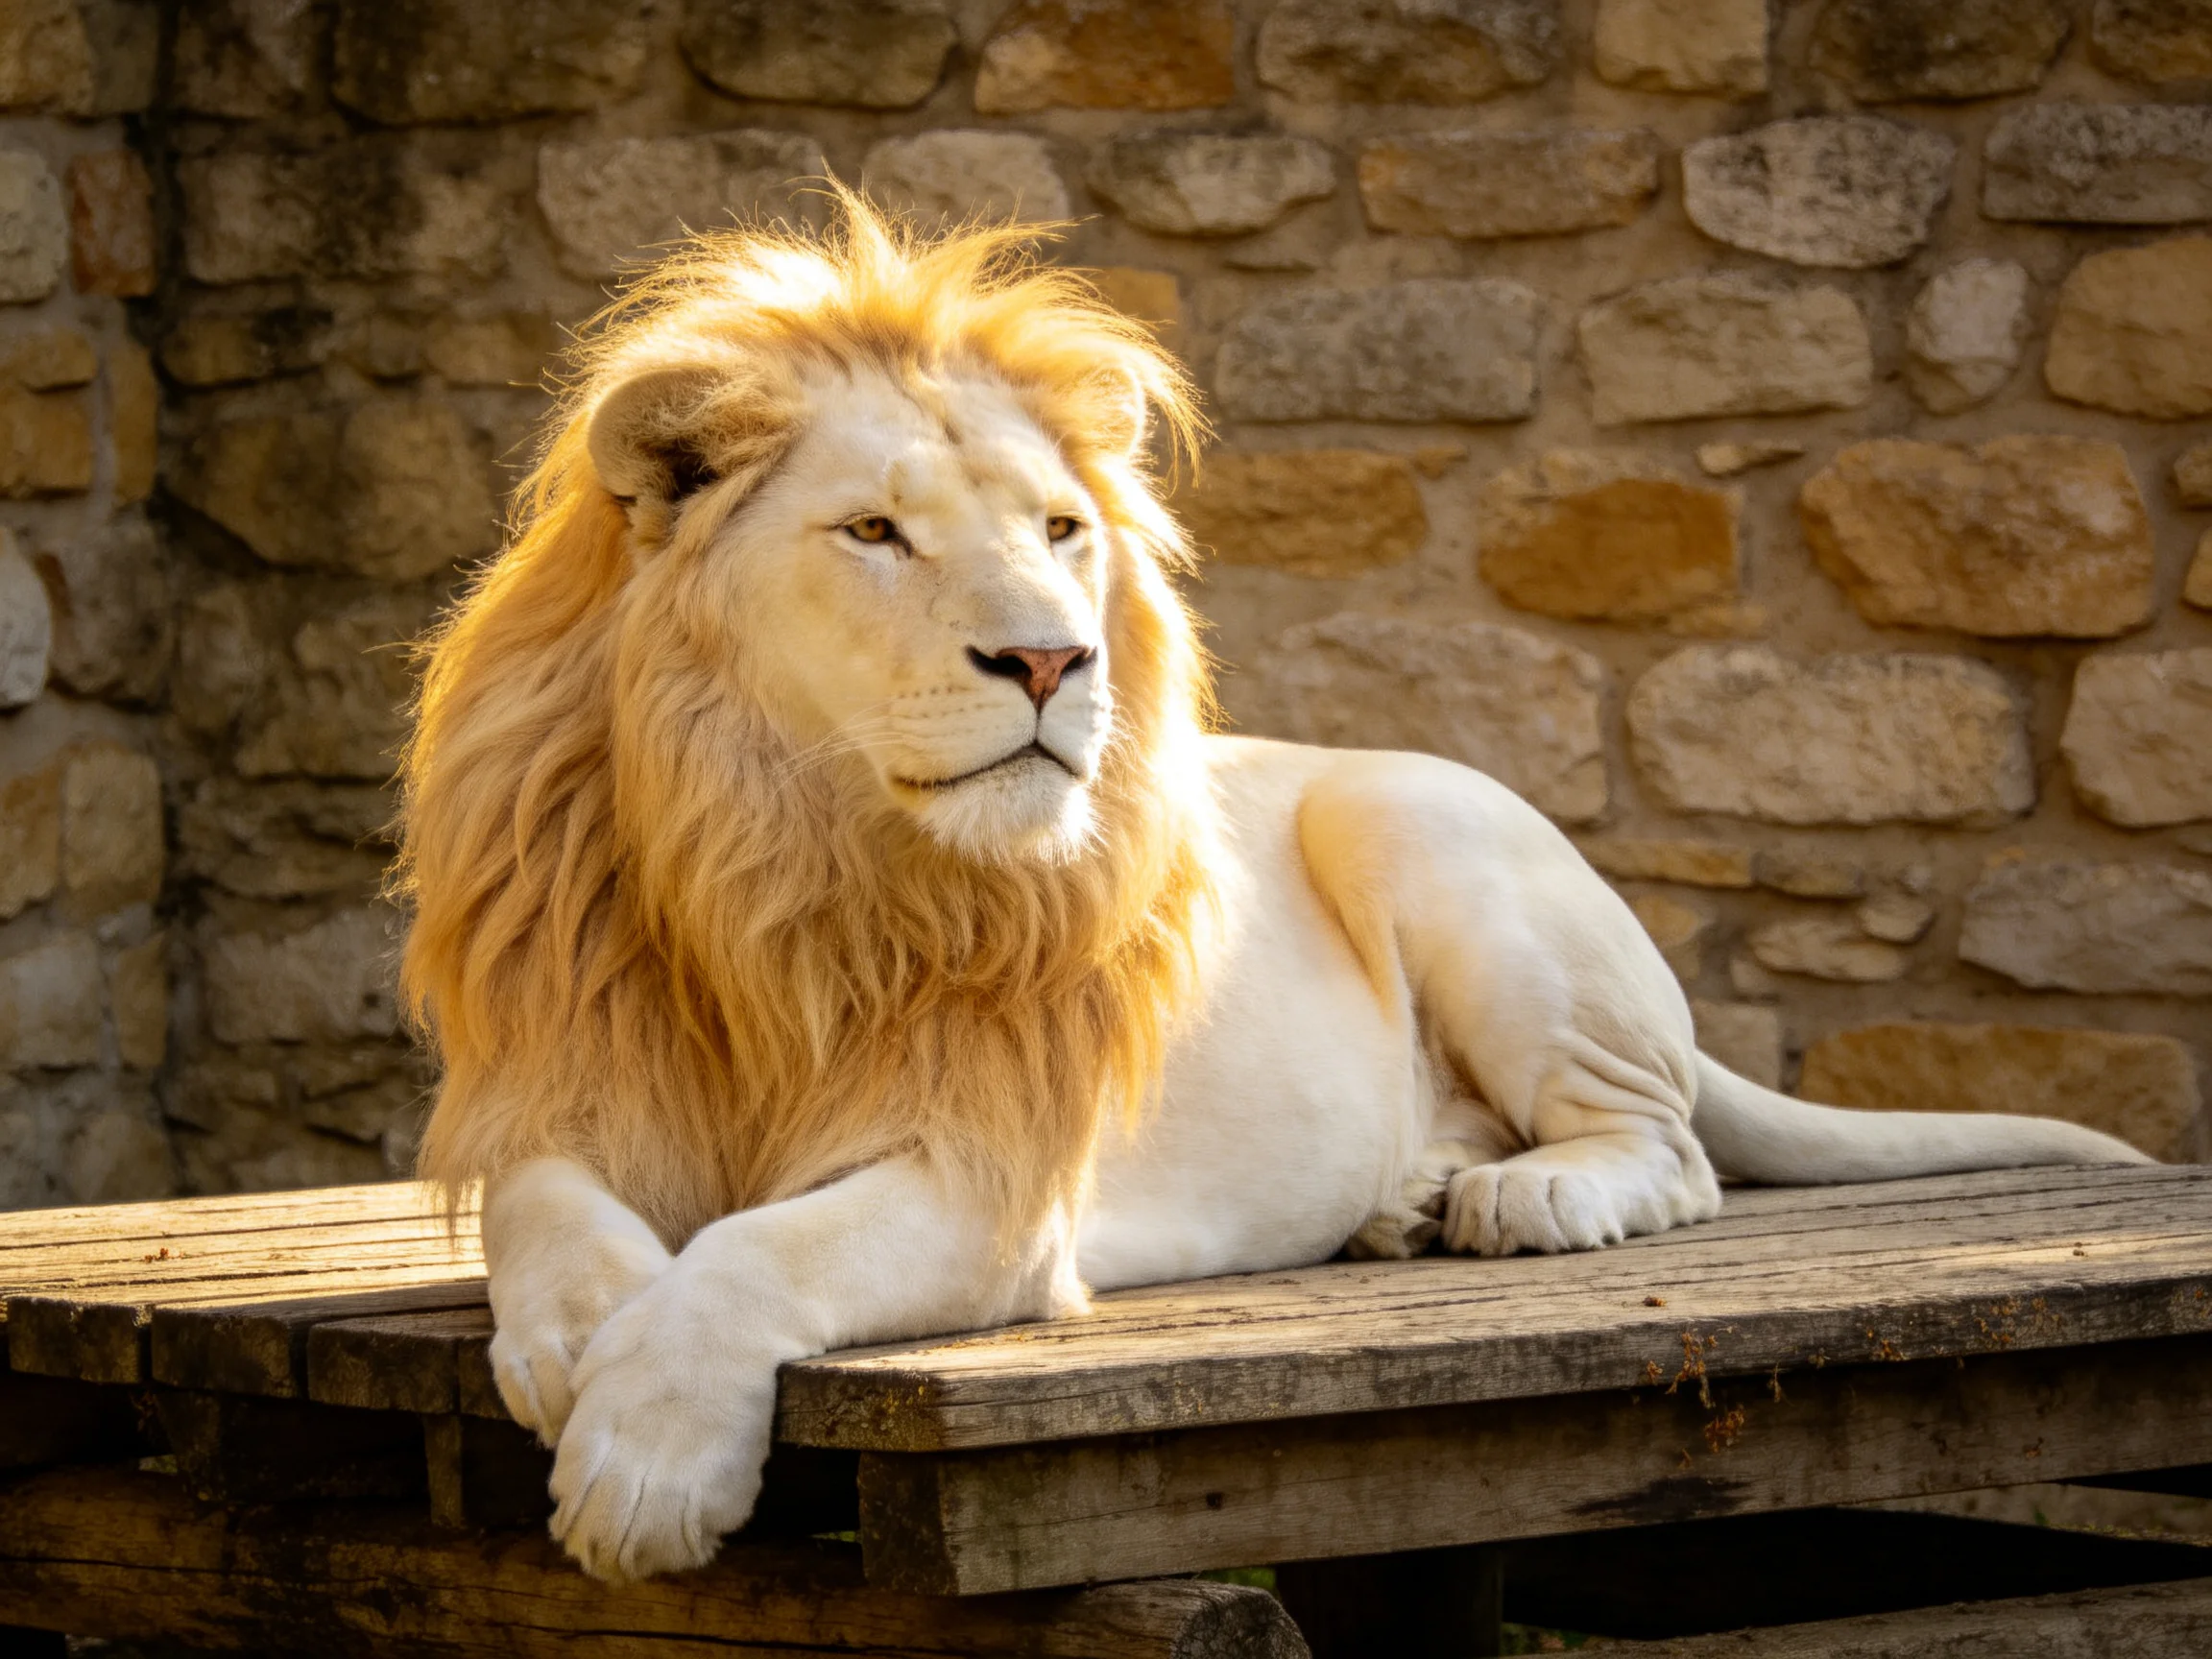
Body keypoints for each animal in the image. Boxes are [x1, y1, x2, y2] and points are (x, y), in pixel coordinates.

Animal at [396, 193, 2147, 1583]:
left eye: (1061, 529)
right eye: (876, 531)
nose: (1053, 659)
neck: (783, 859)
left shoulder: (993, 1184)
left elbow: (762, 1254)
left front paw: (643, 1460)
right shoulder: (572, 1081)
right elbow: (557, 1221)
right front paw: (580, 1342)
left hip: (1418, 821)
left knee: (1668, 1148)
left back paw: (1520, 1199)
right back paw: (1406, 1199)